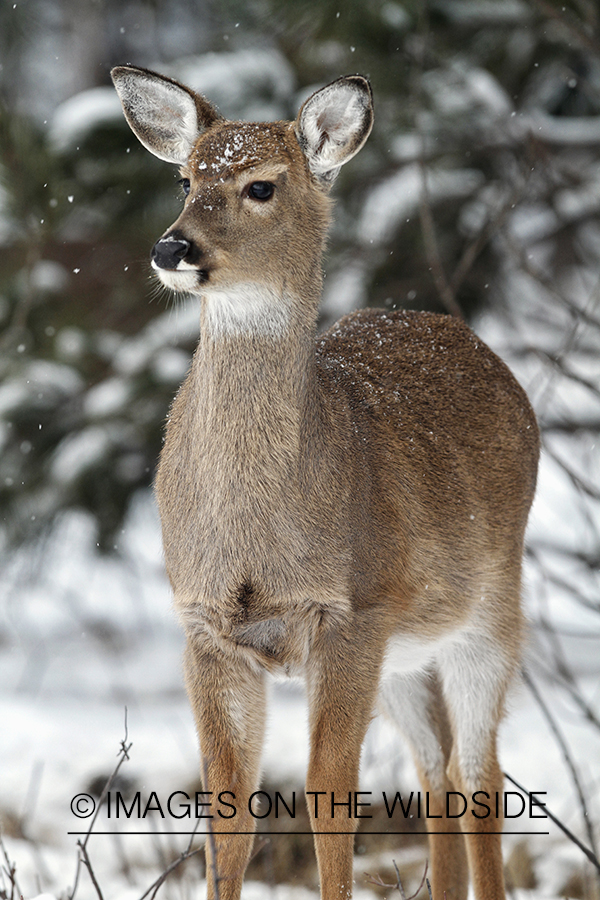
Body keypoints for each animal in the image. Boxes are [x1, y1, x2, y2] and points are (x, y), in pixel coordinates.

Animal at [111, 65, 540, 900]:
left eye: (262, 186)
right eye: (184, 177)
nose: (172, 246)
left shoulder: (351, 612)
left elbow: (330, 795)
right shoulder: (204, 624)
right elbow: (228, 809)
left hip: (490, 607)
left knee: (481, 776)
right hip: (406, 654)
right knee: (436, 771)